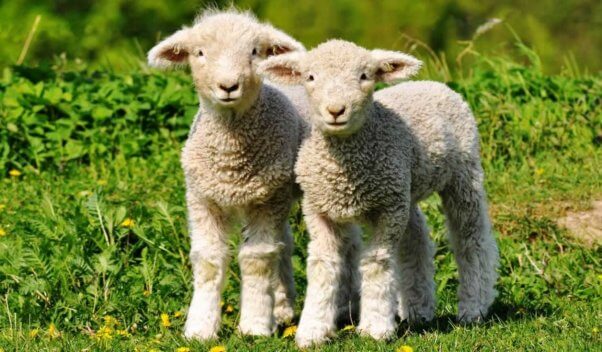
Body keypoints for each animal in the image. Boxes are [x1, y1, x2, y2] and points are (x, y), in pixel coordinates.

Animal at [146, 9, 308, 340]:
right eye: (199, 53)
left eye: (255, 52)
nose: (228, 86)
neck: (230, 161)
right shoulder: (202, 199)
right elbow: (208, 261)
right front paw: (200, 327)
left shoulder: (265, 202)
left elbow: (257, 259)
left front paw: (255, 325)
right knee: (284, 243)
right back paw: (282, 306)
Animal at [260, 39, 500, 346]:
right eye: (310, 77)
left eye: (365, 76)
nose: (336, 110)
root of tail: (433, 84)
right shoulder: (318, 209)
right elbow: (323, 265)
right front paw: (312, 331)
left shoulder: (388, 209)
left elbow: (376, 262)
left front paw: (375, 327)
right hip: (405, 188)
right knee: (416, 239)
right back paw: (418, 309)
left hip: (463, 174)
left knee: (472, 239)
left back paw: (474, 307)